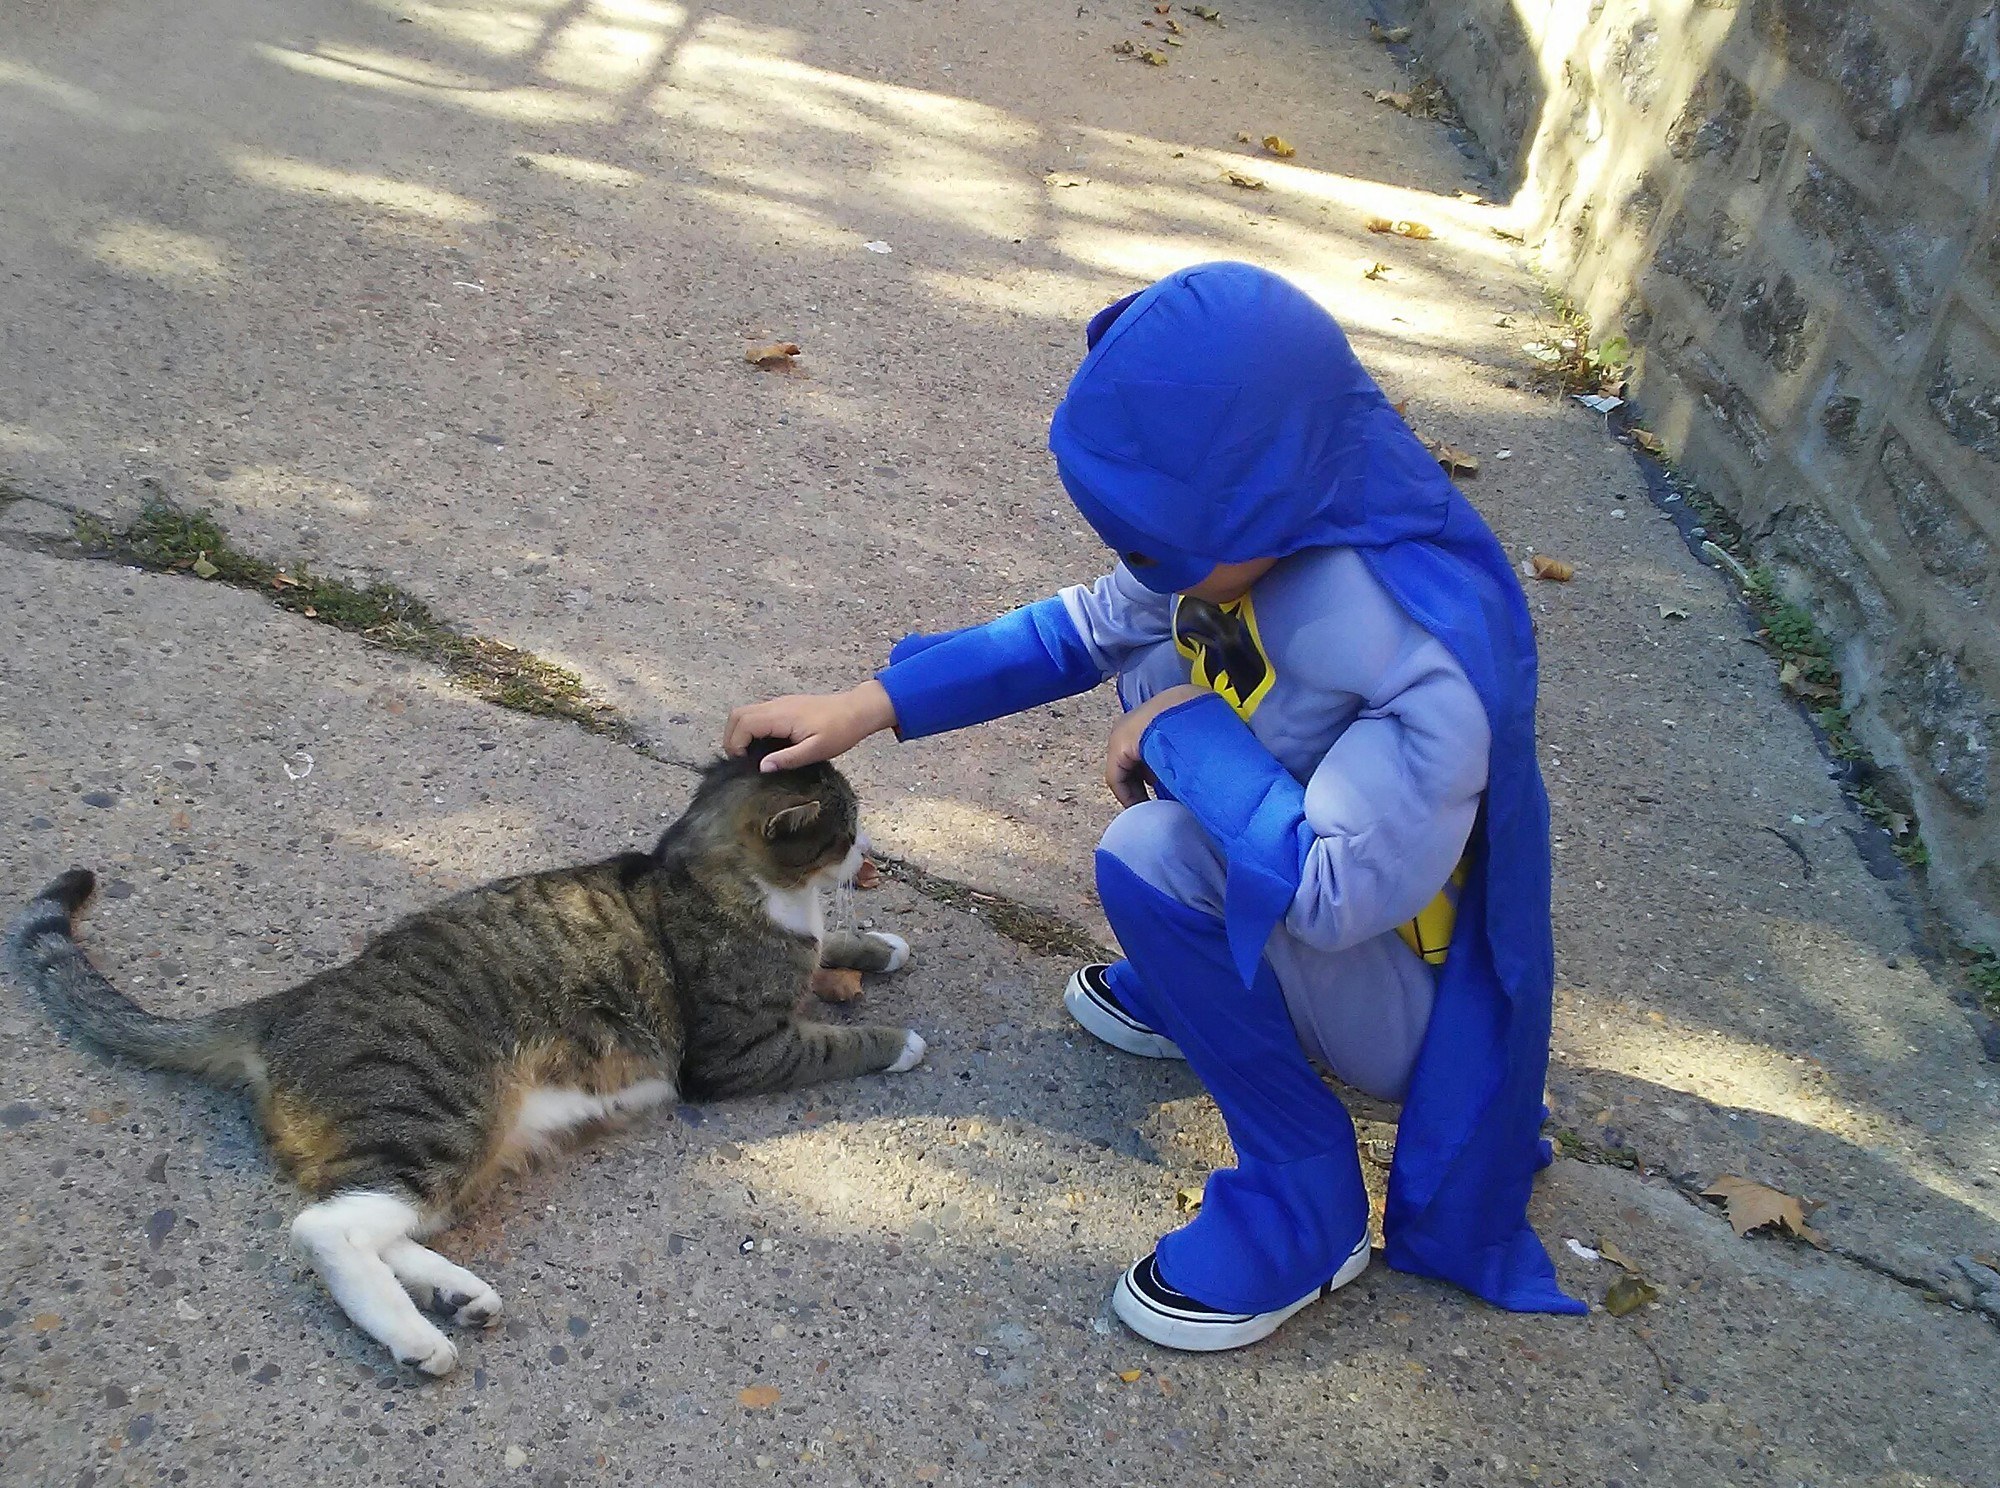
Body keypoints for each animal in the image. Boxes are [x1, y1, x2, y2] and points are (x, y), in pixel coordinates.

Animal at [0, 748, 920, 1376]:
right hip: (439, 1114)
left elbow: (831, 949)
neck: (706, 874)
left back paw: (455, 1296)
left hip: (454, 1149)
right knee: (325, 1229)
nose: (871, 851)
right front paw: (901, 1040)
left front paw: (877, 945)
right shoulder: (736, 1055)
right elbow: (836, 1039)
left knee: (377, 1216)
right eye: (844, 827)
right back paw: (418, 1339)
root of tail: (285, 1006)